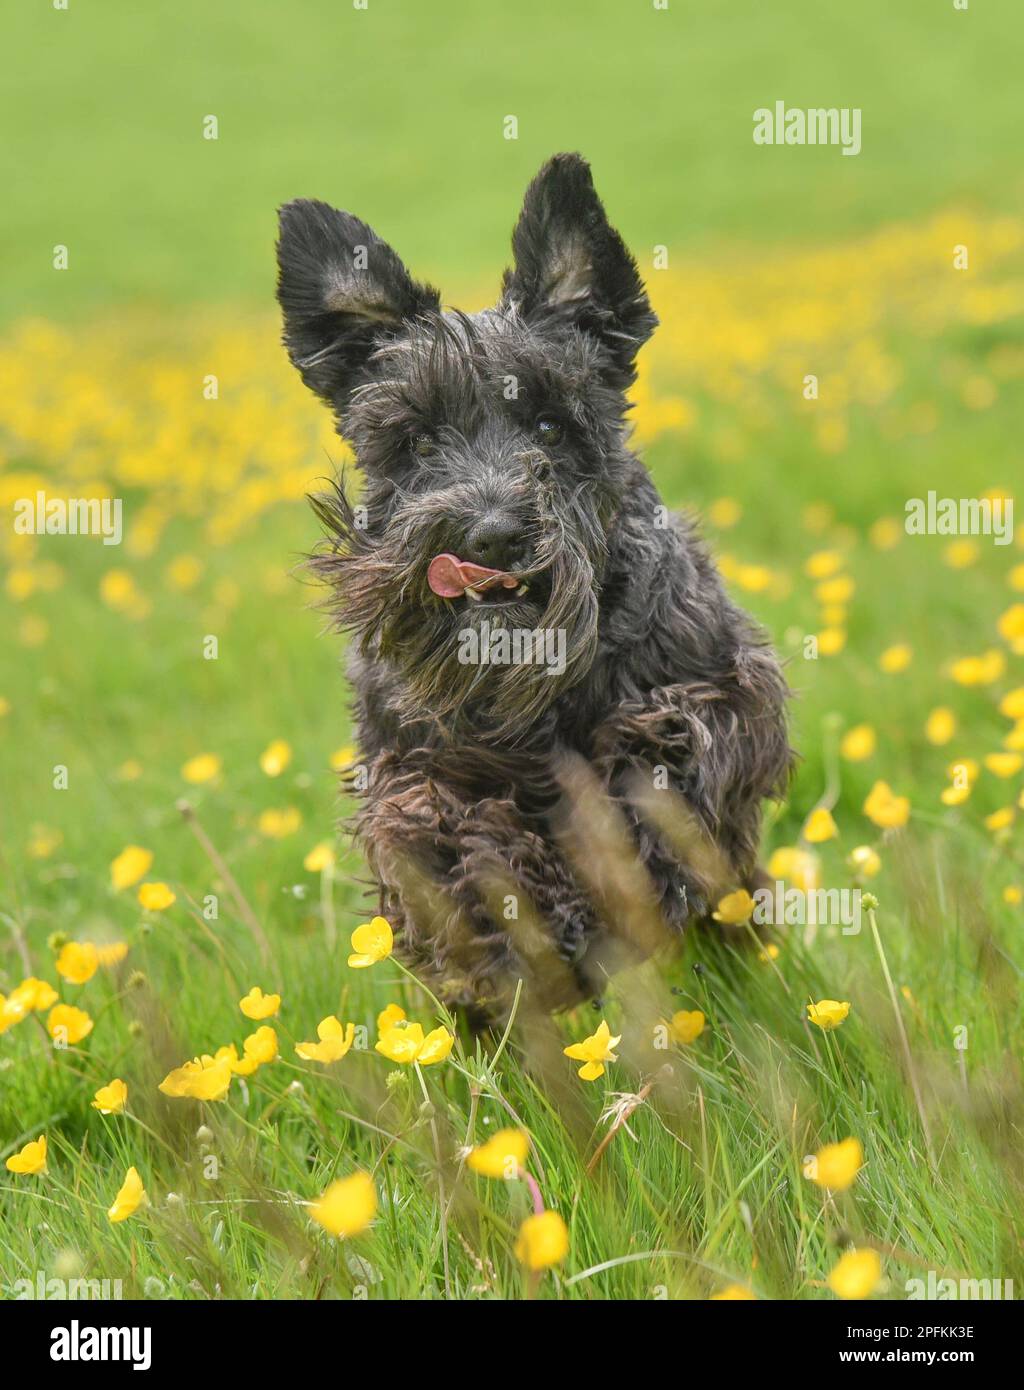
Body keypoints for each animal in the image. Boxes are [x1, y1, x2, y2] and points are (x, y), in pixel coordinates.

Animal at [273, 154, 789, 1023]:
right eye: (418, 440)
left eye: (552, 425)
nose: (490, 537)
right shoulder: (410, 768)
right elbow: (441, 833)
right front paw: (516, 922)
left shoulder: (717, 693)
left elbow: (662, 772)